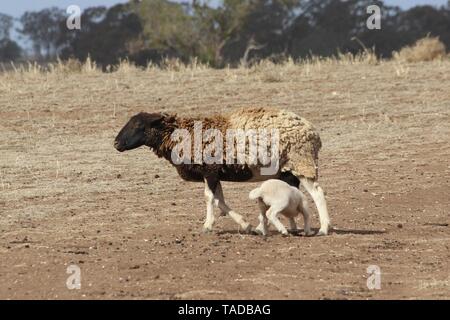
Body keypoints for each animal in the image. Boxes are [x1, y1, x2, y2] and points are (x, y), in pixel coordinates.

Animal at [113, 107, 330, 235]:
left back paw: (324, 228)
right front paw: (246, 225)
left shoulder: (210, 170)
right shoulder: (214, 174)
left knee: (318, 193)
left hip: (301, 162)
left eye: (138, 124)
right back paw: (283, 227)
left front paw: (207, 226)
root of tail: (313, 132)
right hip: (288, 170)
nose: (116, 143)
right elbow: (220, 201)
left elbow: (210, 198)